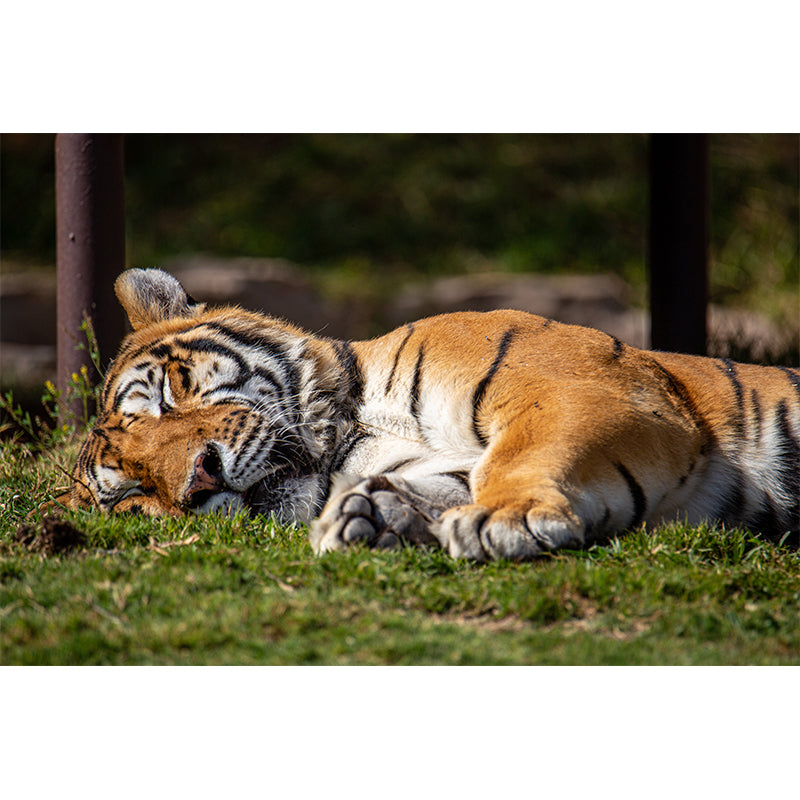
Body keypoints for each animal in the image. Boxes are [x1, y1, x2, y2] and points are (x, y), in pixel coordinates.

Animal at [62, 267, 800, 560]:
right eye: (133, 493)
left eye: (168, 396)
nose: (200, 480)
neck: (355, 431)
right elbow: (443, 482)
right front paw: (372, 518)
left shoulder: (586, 389)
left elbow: (523, 453)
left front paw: (504, 519)